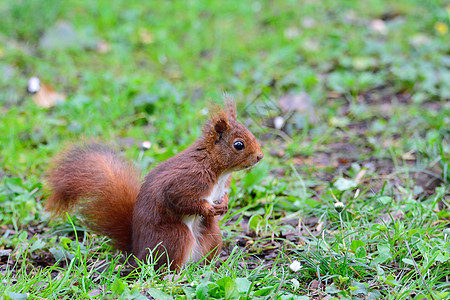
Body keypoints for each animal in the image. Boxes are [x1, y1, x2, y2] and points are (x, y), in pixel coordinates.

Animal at [44, 99, 264, 270]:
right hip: (175, 235)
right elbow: (179, 199)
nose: (260, 157)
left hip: (212, 234)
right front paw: (208, 209)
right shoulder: (187, 180)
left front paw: (224, 205)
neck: (217, 169)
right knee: (167, 264)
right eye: (238, 145)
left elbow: (223, 196)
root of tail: (137, 252)